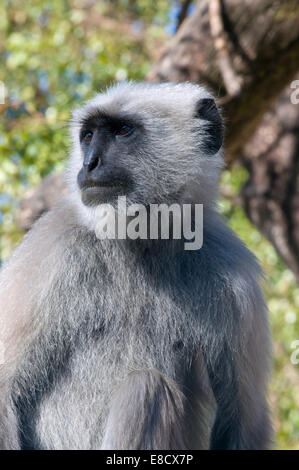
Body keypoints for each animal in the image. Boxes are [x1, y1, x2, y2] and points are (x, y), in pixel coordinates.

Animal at [0, 82, 274, 450]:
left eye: (123, 131)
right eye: (88, 136)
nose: (90, 163)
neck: (141, 244)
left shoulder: (233, 272)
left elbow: (242, 422)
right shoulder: (52, 247)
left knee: (146, 385)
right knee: (147, 386)